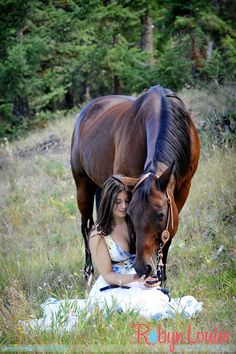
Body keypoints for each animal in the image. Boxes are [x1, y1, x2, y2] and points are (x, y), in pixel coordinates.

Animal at [70, 85, 199, 282]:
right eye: (131, 214)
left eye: (161, 214)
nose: (143, 267)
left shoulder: (183, 190)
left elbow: (167, 238)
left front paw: (161, 276)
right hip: (83, 187)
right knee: (87, 226)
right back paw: (89, 272)